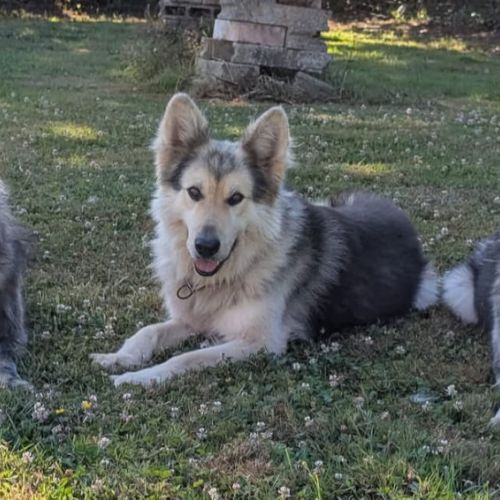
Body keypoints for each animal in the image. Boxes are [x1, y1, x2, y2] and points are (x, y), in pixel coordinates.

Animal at [91, 93, 438, 387]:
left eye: (235, 198)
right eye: (194, 192)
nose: (205, 247)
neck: (228, 275)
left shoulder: (261, 341)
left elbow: (186, 358)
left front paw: (140, 377)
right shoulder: (191, 320)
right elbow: (147, 332)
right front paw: (119, 357)